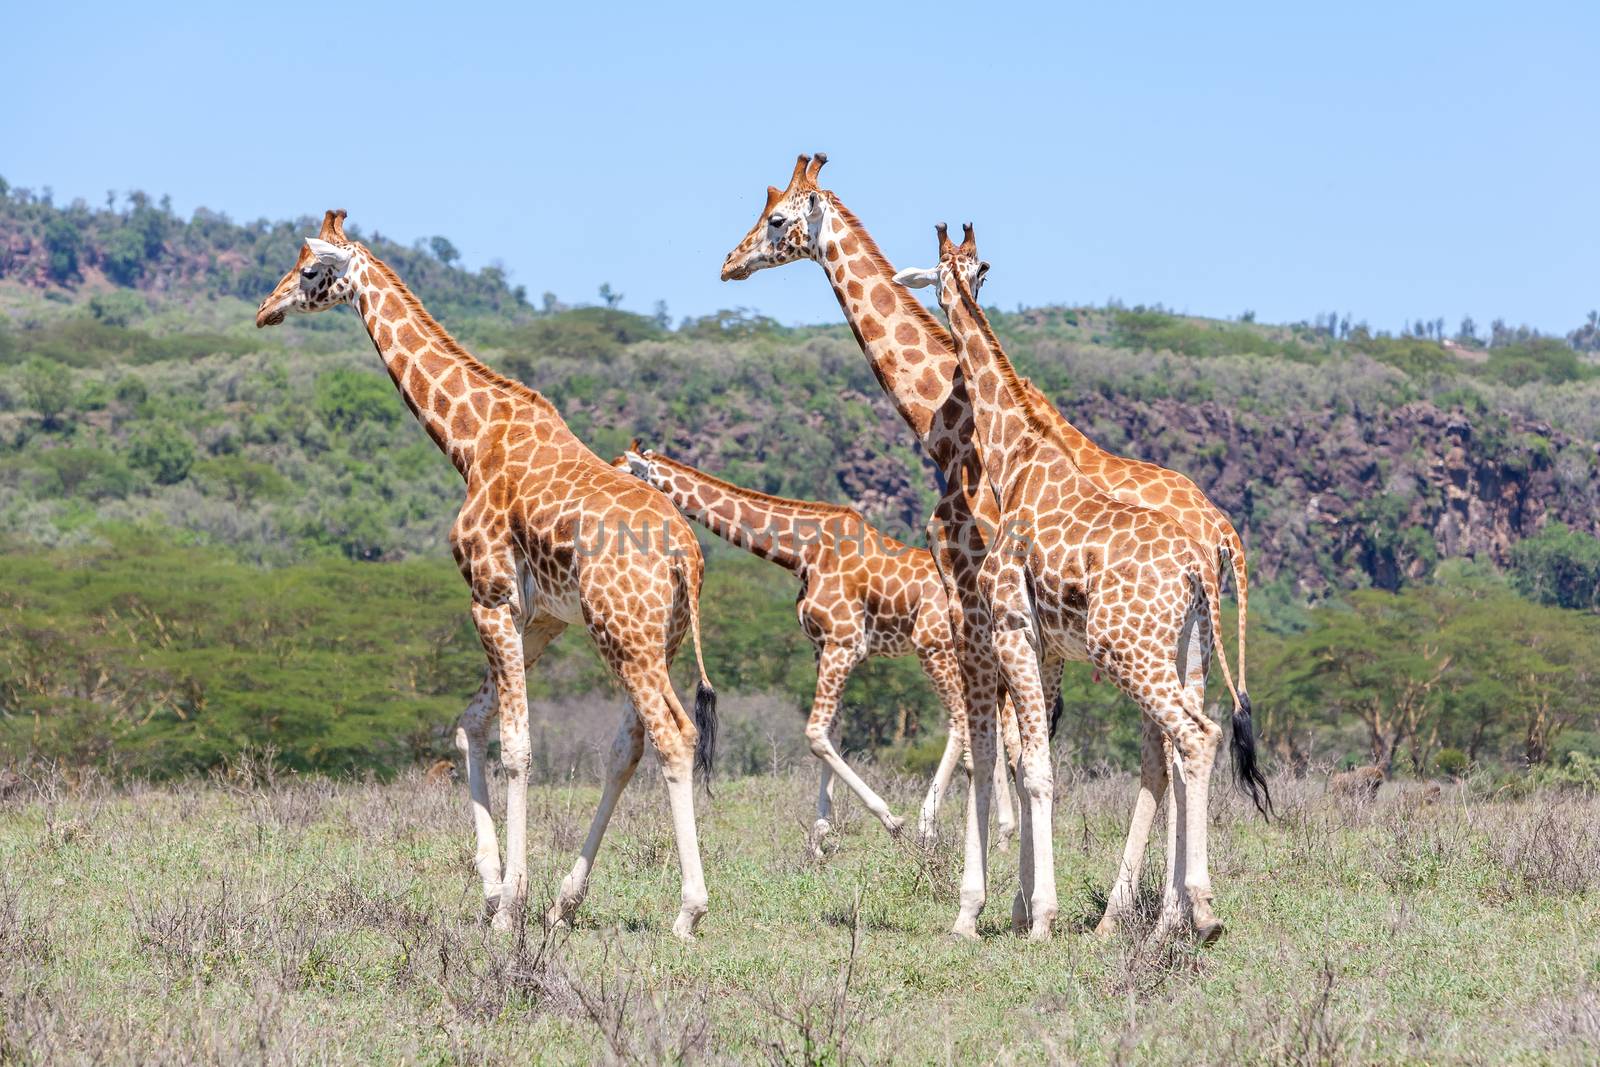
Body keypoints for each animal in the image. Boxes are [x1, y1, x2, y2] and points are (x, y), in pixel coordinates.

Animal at [254, 212, 720, 940]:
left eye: (308, 270)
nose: (264, 309)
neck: (469, 440)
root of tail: (684, 556)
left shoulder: (490, 596)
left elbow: (517, 746)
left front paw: (508, 904)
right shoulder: (541, 616)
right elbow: (470, 724)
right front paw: (496, 886)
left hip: (626, 637)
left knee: (674, 738)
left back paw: (687, 910)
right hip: (653, 640)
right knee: (635, 742)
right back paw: (567, 901)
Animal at [611, 441, 1011, 851]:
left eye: (624, 470)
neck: (801, 552)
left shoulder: (844, 642)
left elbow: (816, 733)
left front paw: (887, 818)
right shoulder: (821, 646)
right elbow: (831, 730)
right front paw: (819, 836)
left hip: (934, 648)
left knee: (961, 722)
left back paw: (927, 824)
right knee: (991, 726)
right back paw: (1001, 831)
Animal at [896, 220, 1254, 940]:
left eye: (946, 277)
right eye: (968, 271)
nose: (945, 310)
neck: (1016, 457)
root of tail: (1200, 563)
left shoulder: (1012, 625)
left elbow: (1034, 767)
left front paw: (1038, 918)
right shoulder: (1043, 642)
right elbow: (1026, 760)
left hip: (1128, 648)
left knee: (1193, 738)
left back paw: (1197, 912)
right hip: (1186, 648)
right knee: (1187, 746)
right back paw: (1176, 915)